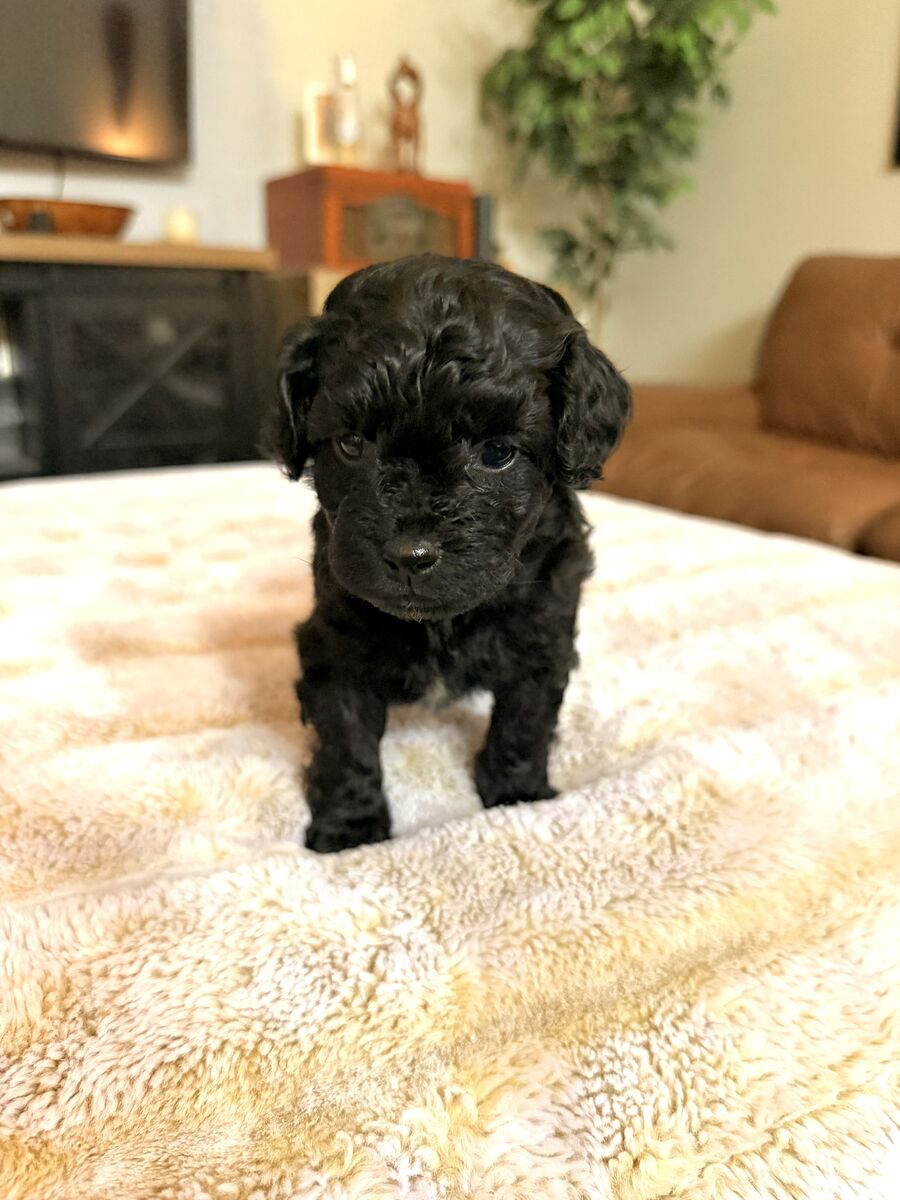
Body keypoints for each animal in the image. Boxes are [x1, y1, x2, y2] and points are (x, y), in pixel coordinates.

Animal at [269, 255, 631, 852]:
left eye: (498, 453)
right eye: (351, 444)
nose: (410, 556)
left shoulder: (543, 631)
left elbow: (525, 719)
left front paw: (516, 796)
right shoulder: (335, 640)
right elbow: (346, 736)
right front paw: (350, 827)